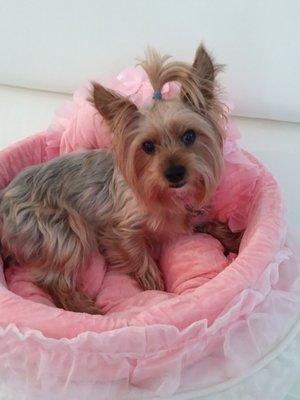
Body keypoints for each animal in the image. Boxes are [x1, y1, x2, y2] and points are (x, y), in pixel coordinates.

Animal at [0, 43, 241, 312]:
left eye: (189, 136)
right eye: (147, 146)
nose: (175, 173)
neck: (167, 196)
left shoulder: (190, 212)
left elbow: (207, 222)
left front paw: (233, 239)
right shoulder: (118, 230)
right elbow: (137, 254)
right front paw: (155, 284)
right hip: (63, 231)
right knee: (54, 280)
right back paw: (86, 309)